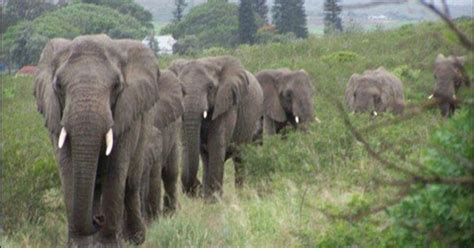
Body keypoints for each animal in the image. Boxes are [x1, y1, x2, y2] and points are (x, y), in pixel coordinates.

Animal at [33, 34, 161, 246]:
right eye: (58, 85)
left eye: (117, 86)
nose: (98, 219)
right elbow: (68, 171)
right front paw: (78, 245)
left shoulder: (126, 114)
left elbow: (115, 171)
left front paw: (108, 244)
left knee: (131, 183)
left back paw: (136, 239)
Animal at [169, 56, 264, 200]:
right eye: (180, 88)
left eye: (210, 87)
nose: (197, 187)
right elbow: (189, 144)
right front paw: (209, 199)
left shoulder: (227, 103)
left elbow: (215, 144)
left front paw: (215, 200)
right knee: (206, 158)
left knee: (239, 157)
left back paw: (239, 195)